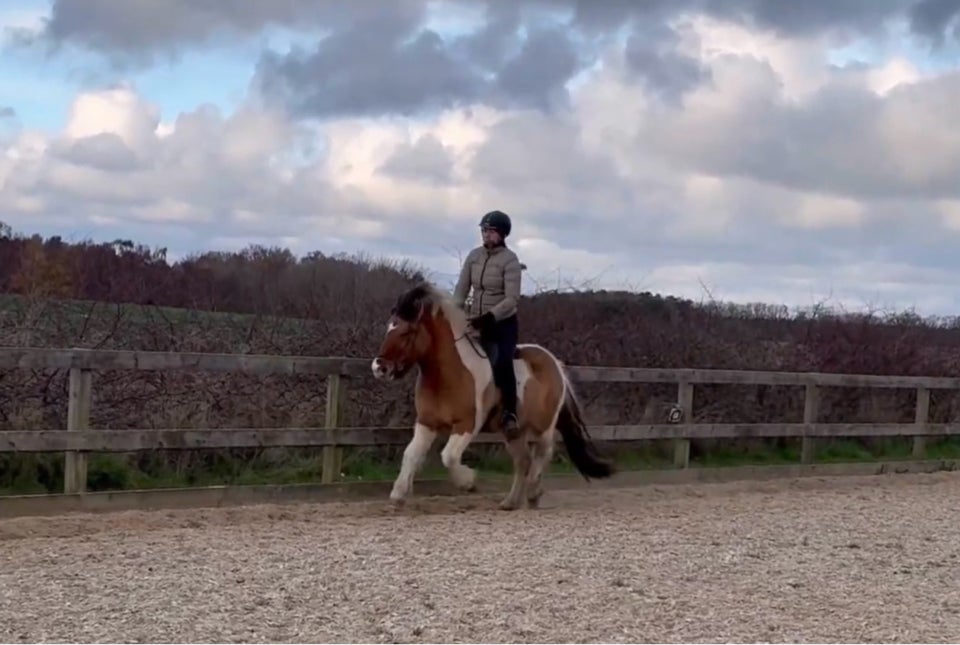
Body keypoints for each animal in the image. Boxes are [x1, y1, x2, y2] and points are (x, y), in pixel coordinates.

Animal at [370, 280, 616, 510]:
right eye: (389, 328)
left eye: (406, 332)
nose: (379, 368)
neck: (449, 374)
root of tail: (555, 363)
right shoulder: (427, 423)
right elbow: (411, 454)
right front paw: (398, 495)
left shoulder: (467, 424)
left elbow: (449, 456)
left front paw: (469, 482)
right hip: (513, 430)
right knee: (523, 461)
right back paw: (510, 502)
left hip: (543, 427)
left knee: (542, 454)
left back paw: (533, 494)